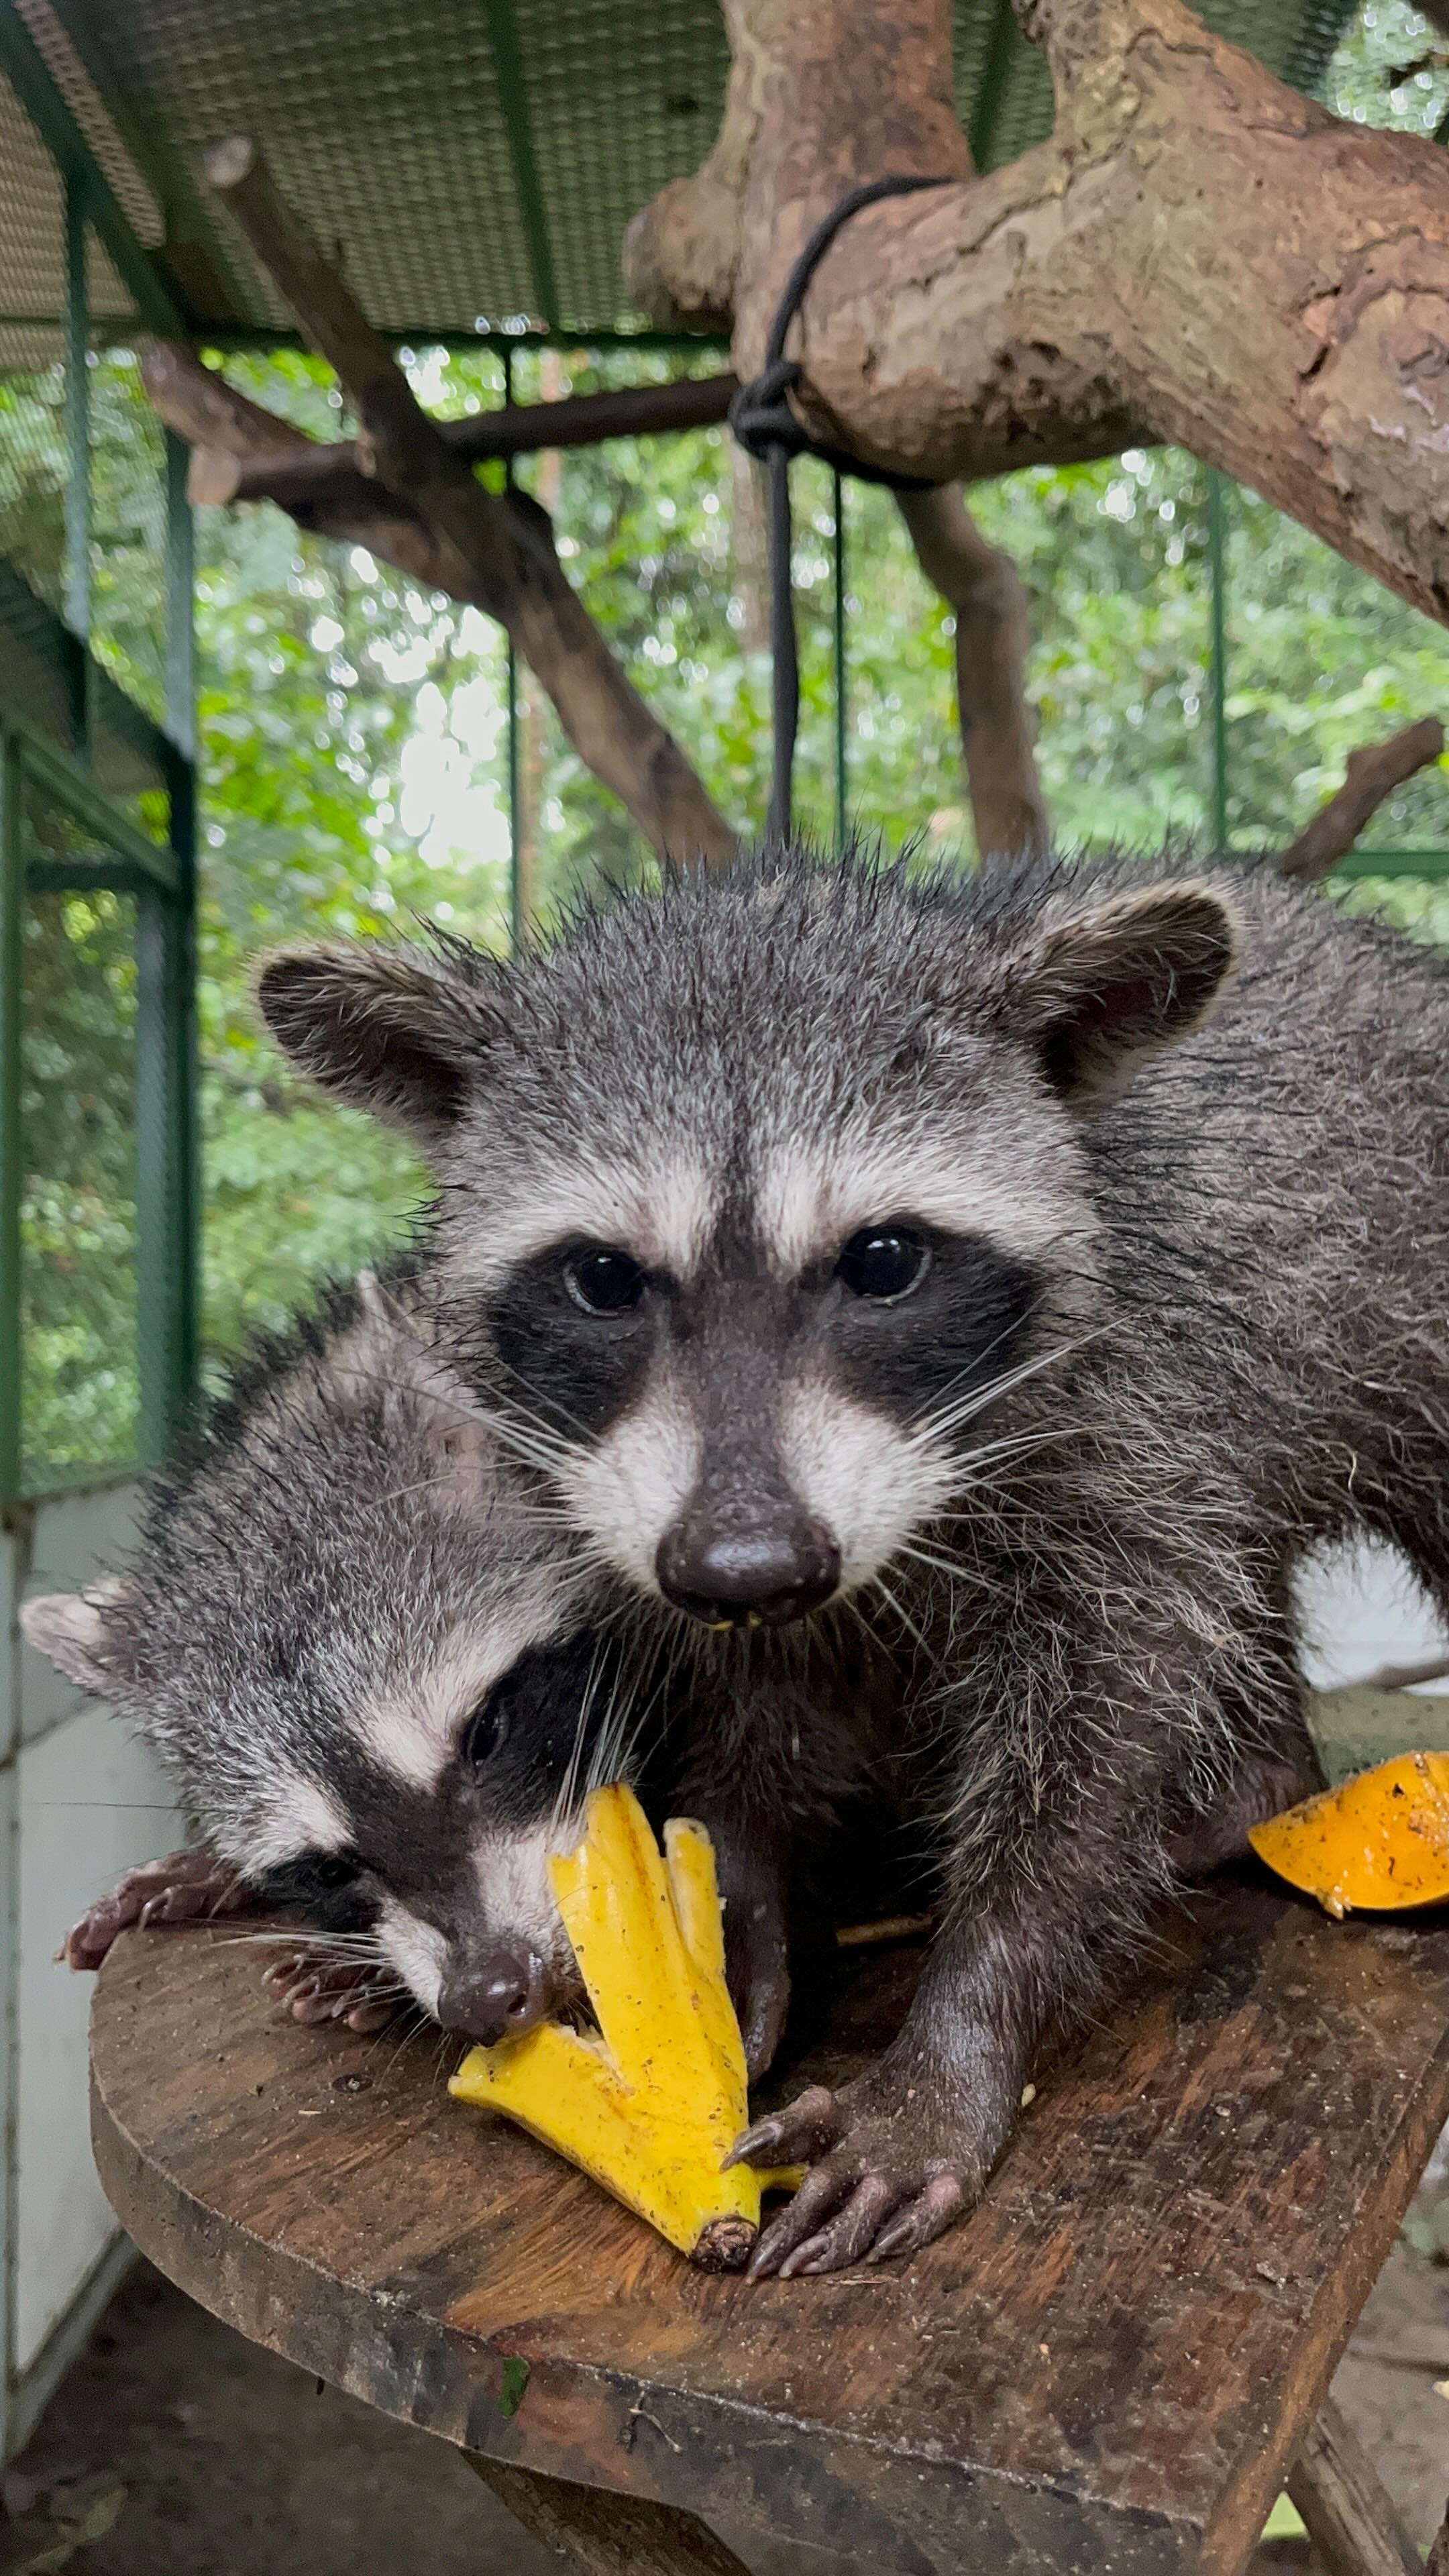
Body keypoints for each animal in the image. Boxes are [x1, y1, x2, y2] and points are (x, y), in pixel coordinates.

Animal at [255, 848, 1449, 2273]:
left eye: (883, 1261)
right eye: (603, 1279)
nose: (749, 1567)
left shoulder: (1129, 1395)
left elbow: (1116, 1686)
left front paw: (968, 2020)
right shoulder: (643, 1511)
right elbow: (736, 1686)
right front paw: (735, 1894)